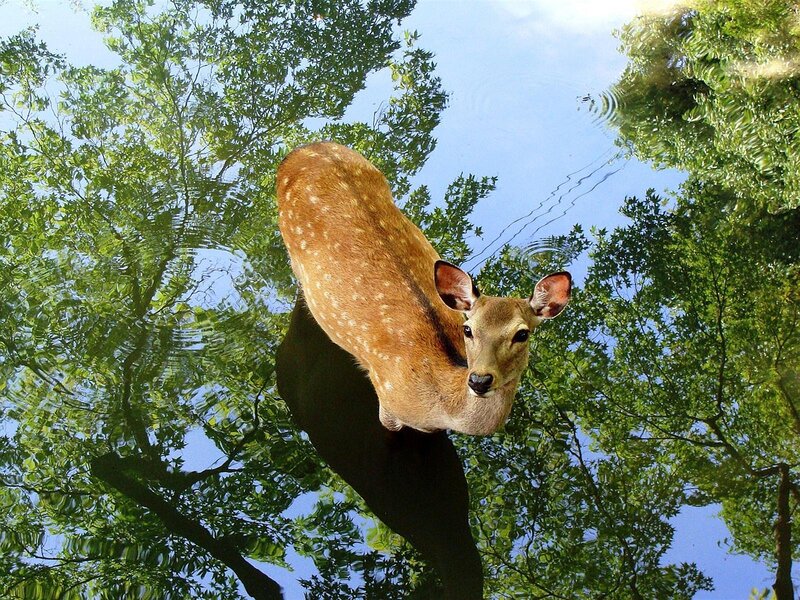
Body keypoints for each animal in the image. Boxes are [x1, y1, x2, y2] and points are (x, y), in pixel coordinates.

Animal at [277, 141, 571, 435]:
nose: (479, 380)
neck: (439, 408)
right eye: (468, 329)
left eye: (522, 334)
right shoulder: (388, 404)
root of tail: (303, 149)